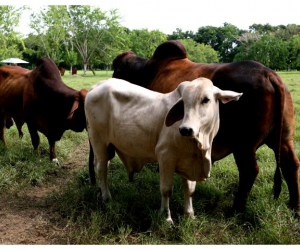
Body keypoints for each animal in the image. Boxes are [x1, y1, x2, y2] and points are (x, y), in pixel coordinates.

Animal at [85, 77, 243, 223]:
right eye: (183, 102)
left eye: (206, 100)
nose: (185, 129)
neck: (199, 144)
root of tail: (96, 86)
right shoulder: (165, 156)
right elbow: (166, 190)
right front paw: (167, 218)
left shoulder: (189, 162)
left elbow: (189, 190)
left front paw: (189, 215)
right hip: (98, 140)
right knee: (102, 168)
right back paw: (106, 198)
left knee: (101, 165)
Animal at [110, 40, 300, 212]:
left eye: (116, 69)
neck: (147, 71)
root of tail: (268, 74)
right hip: (283, 139)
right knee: (291, 164)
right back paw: (293, 206)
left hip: (244, 145)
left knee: (249, 171)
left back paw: (236, 209)